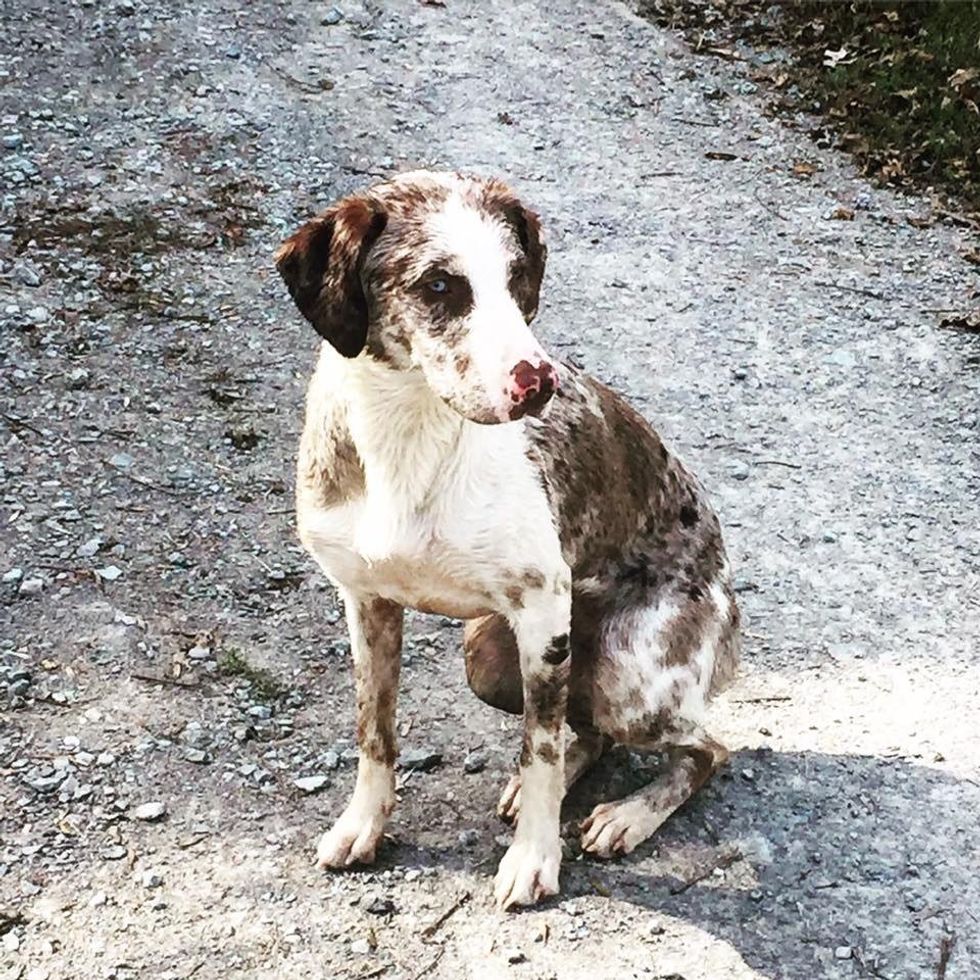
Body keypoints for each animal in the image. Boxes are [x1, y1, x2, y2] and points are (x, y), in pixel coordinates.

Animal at [272, 168, 740, 912]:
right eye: (439, 285)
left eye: (517, 276)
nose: (539, 383)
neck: (409, 437)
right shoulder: (366, 603)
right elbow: (375, 731)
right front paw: (363, 826)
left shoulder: (543, 611)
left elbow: (538, 748)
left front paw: (534, 860)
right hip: (489, 659)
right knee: (590, 732)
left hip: (628, 677)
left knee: (703, 749)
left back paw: (628, 816)